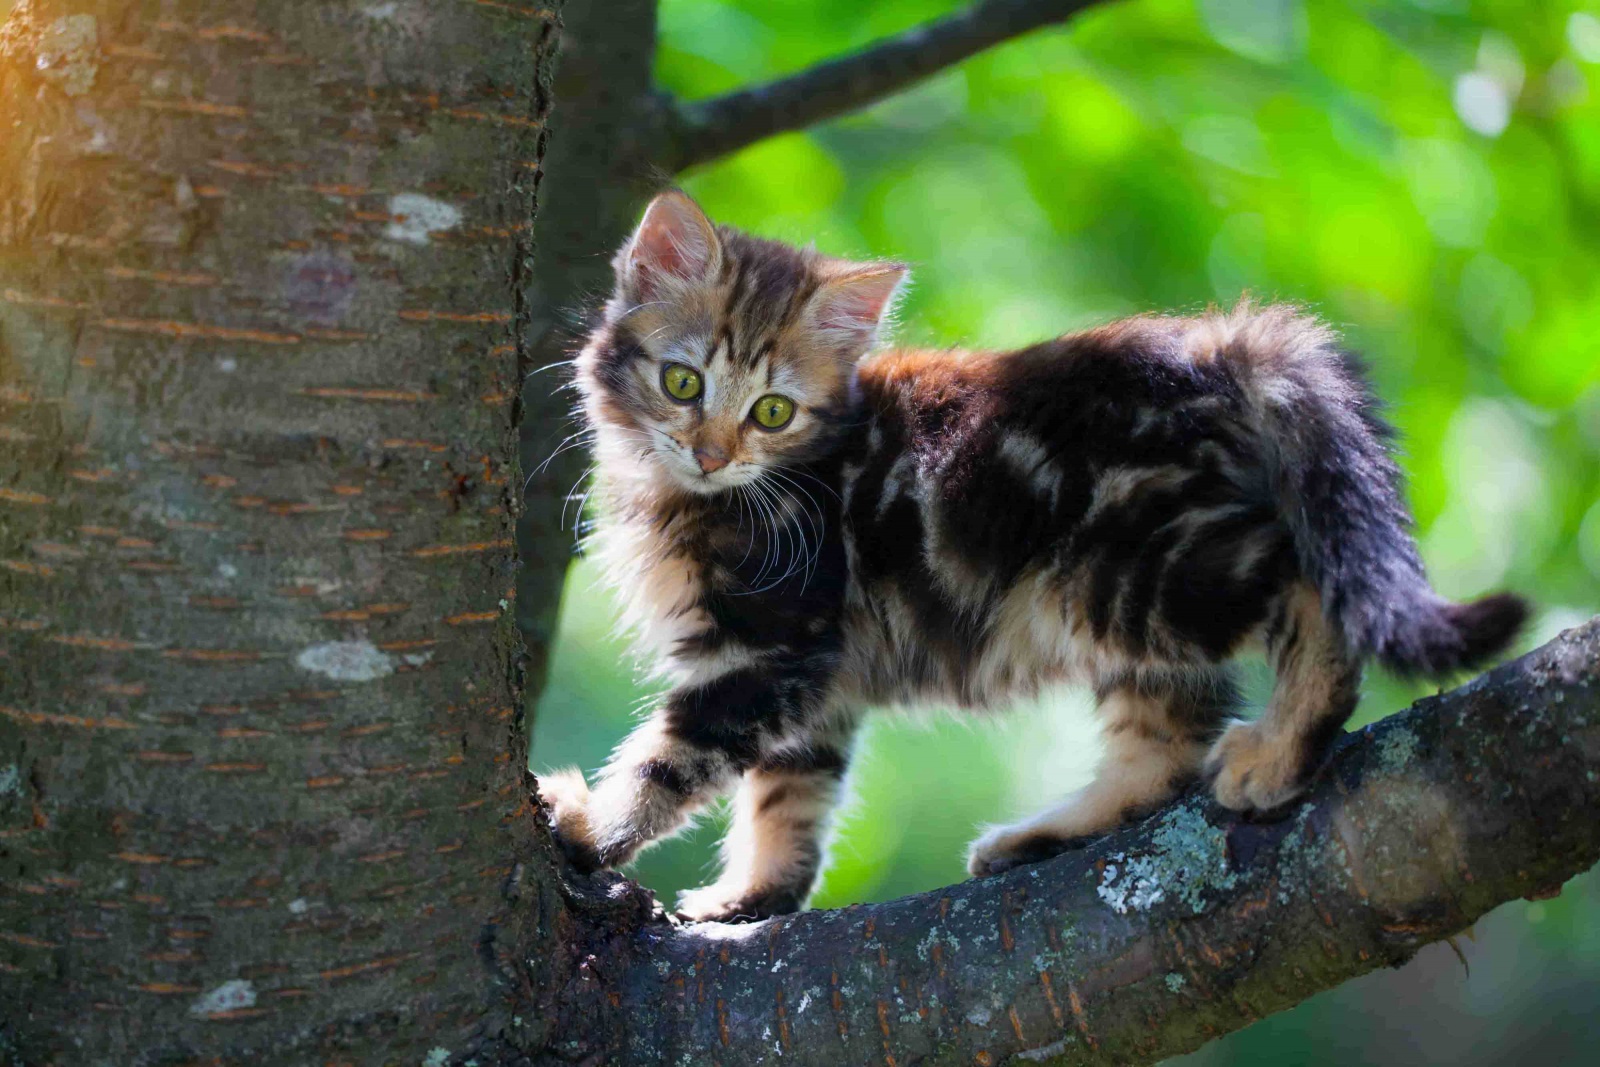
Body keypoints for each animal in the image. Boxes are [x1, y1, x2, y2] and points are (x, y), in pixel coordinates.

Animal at [544, 187, 1529, 921]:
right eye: (683, 383)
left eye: (772, 411)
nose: (712, 453)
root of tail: (1218, 342)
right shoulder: (817, 674)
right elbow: (789, 794)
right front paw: (753, 894)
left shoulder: (769, 646)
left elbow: (673, 757)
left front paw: (590, 826)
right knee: (1166, 744)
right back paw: (1046, 832)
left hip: (1131, 576)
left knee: (1307, 594)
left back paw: (1283, 752)